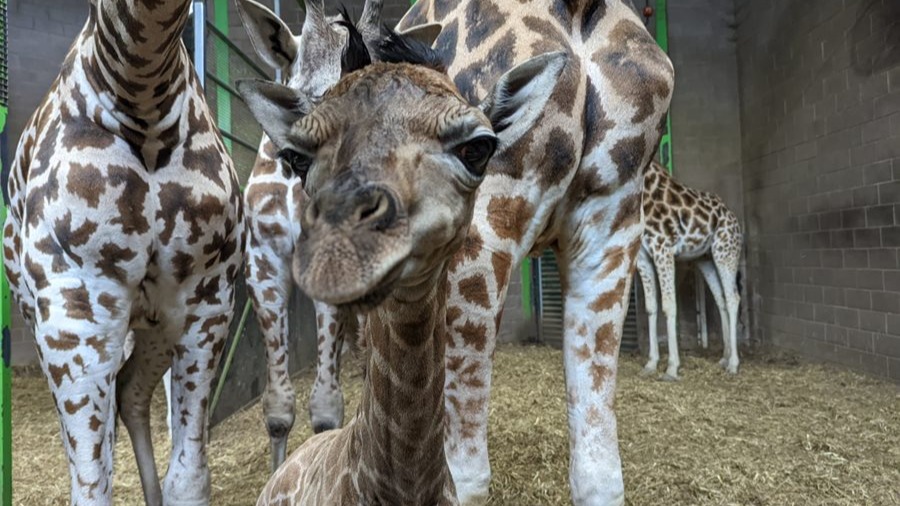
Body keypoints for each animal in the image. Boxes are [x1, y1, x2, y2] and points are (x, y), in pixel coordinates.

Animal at [1, 1, 244, 504]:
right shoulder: (75, 312)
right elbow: (91, 486)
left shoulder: (207, 300)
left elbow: (189, 479)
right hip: (45, 319)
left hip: (154, 320)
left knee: (130, 391)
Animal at [636, 161, 740, 380]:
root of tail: (733, 218)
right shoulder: (642, 257)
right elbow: (651, 307)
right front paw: (651, 364)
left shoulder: (663, 248)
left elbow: (669, 305)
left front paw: (671, 368)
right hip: (706, 260)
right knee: (721, 299)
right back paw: (725, 358)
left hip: (726, 252)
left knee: (733, 298)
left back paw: (734, 364)